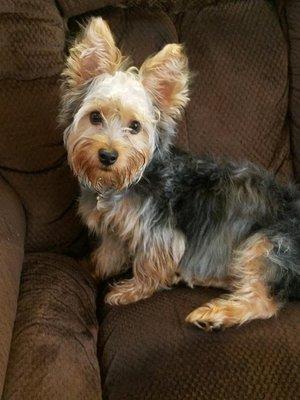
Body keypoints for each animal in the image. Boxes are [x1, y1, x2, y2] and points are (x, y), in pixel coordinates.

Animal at [59, 18, 300, 332]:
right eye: (95, 117)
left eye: (135, 126)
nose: (108, 155)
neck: (126, 181)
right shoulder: (114, 227)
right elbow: (110, 249)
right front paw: (93, 265)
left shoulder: (159, 233)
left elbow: (150, 265)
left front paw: (130, 290)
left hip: (268, 243)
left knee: (264, 300)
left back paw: (213, 314)